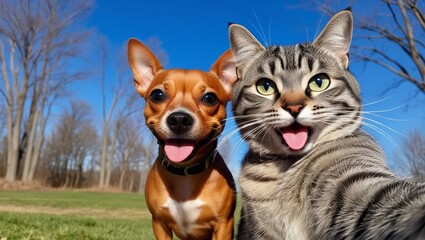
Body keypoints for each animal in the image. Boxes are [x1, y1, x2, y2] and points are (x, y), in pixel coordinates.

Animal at [127, 38, 237, 239]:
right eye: (157, 95)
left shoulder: (224, 225)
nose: (179, 119)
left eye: (210, 98)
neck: (184, 174)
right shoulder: (159, 223)